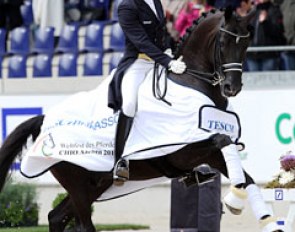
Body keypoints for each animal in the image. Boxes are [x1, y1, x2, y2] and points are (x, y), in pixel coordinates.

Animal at [0, 7, 284, 232]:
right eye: (223, 42)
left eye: (246, 45)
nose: (231, 88)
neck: (192, 83)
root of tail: (45, 119)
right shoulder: (185, 151)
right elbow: (223, 139)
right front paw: (234, 200)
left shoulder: (211, 154)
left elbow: (245, 176)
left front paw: (260, 216)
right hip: (79, 184)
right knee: (81, 224)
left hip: (96, 184)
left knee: (56, 217)